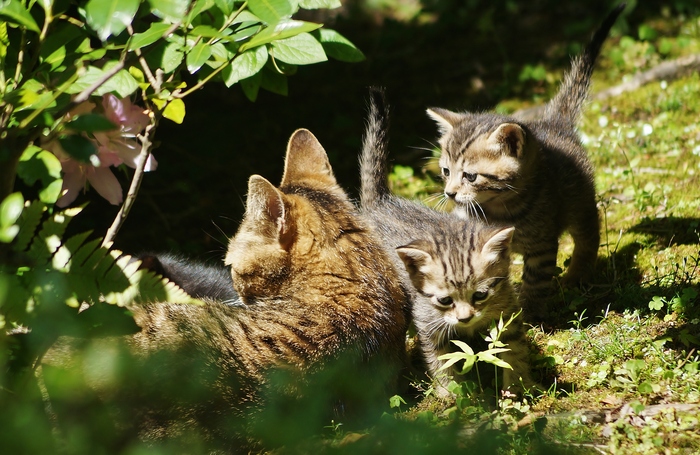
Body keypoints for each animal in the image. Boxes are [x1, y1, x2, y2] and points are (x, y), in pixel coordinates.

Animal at [360, 89, 532, 396]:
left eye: (480, 295)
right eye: (444, 300)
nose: (465, 318)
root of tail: (379, 203)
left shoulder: (507, 314)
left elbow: (514, 352)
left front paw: (517, 391)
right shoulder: (429, 324)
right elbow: (441, 362)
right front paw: (452, 396)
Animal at [426, 3, 628, 318]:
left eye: (470, 176)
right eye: (446, 171)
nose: (449, 193)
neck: (497, 209)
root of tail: (555, 123)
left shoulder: (541, 245)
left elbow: (536, 280)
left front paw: (530, 314)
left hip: (580, 204)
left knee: (588, 237)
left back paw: (576, 275)